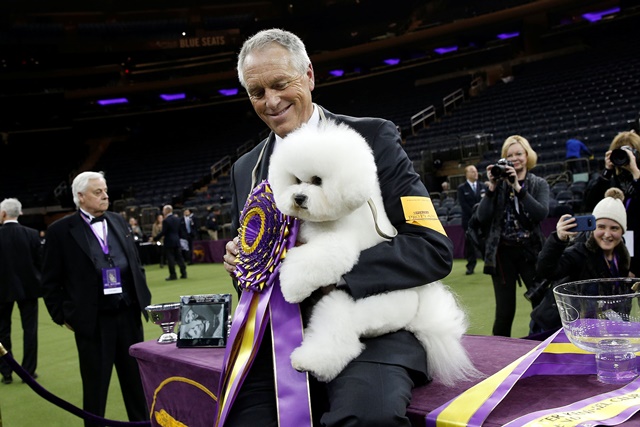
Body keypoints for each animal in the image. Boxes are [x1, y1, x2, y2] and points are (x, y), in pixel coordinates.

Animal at [268, 119, 482, 384]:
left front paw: (291, 289)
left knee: (340, 334)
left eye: (318, 180)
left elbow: (308, 261)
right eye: (296, 180)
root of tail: (414, 313)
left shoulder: (337, 246)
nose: (298, 198)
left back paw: (310, 362)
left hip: (355, 306)